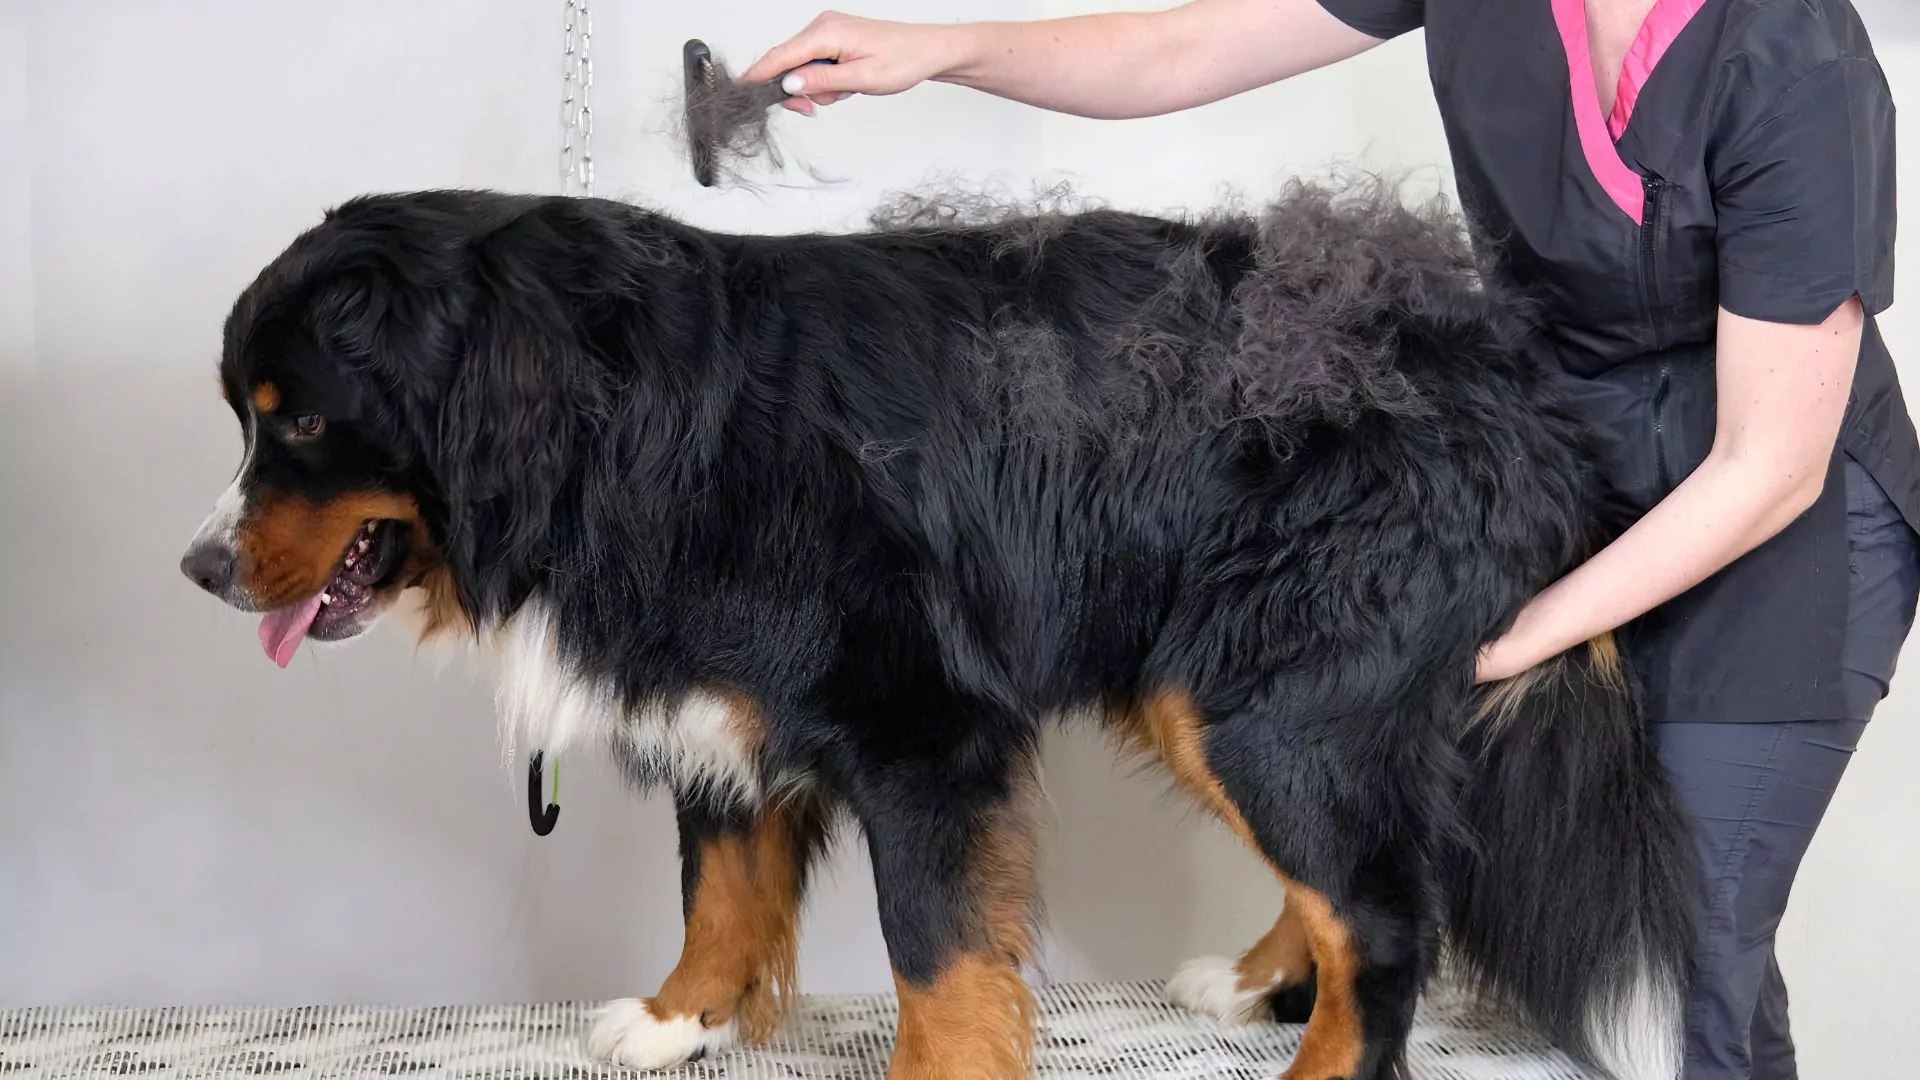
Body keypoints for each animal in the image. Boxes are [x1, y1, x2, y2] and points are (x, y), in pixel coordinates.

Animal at [183, 180, 1697, 1068]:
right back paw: (1259, 983)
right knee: (1349, 884)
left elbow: (936, 956)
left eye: (297, 420)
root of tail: (1493, 370)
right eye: (247, 416)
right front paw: (678, 1018)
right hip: (1218, 688)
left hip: (1263, 692)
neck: (619, 422)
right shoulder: (718, 695)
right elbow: (722, 886)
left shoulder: (920, 728)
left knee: (1381, 919)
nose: (198, 568)